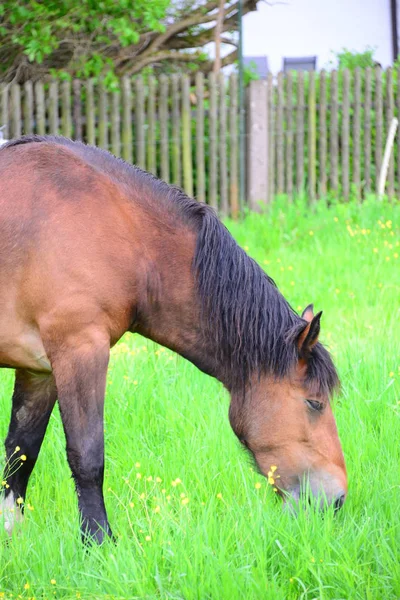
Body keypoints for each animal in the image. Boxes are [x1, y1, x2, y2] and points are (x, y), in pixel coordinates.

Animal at [0, 136, 346, 544]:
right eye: (314, 403)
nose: (337, 500)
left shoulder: (40, 369)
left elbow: (20, 452)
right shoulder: (79, 350)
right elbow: (87, 455)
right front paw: (98, 542)